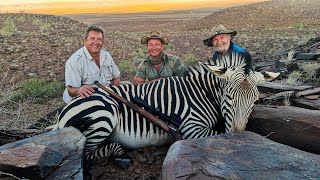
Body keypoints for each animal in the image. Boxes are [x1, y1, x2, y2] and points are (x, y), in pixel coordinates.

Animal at [52, 52, 278, 168]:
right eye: (229, 97)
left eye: (254, 100)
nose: (239, 138)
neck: (204, 93)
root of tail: (62, 113)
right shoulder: (191, 128)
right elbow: (219, 132)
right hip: (103, 116)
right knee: (86, 155)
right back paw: (121, 156)